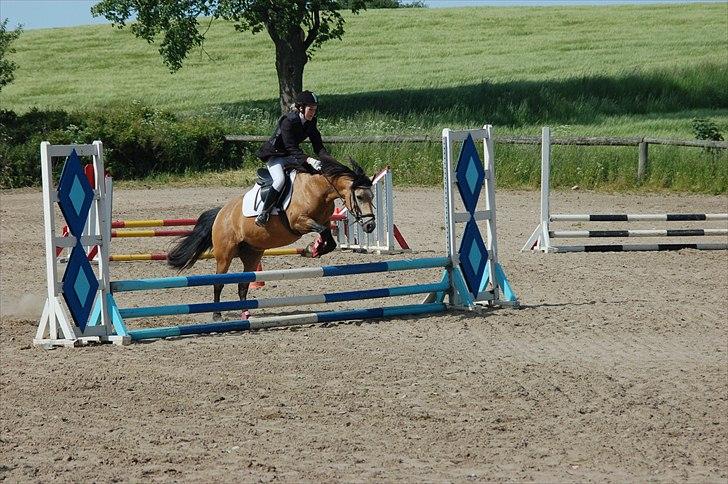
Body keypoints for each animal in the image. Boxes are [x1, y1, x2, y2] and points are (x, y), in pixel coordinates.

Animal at [168, 159, 378, 322]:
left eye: (372, 196)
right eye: (359, 196)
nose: (370, 226)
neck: (316, 189)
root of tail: (221, 213)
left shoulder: (324, 220)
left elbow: (329, 238)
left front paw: (313, 249)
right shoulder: (299, 222)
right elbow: (324, 231)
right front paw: (312, 249)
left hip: (252, 254)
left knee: (243, 285)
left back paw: (246, 315)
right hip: (225, 255)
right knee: (218, 283)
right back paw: (217, 315)